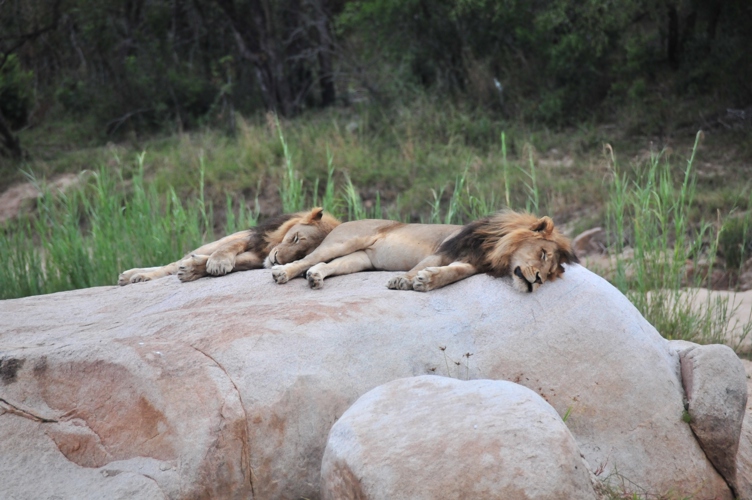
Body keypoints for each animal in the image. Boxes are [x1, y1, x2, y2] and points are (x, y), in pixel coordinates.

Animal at [118, 207, 340, 286]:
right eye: (295, 238)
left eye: (301, 255)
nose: (276, 259)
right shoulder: (254, 240)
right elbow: (231, 247)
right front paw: (217, 262)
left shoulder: (258, 259)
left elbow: (237, 262)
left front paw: (193, 270)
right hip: (213, 242)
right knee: (172, 264)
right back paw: (135, 275)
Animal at [270, 210, 576, 292]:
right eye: (543, 254)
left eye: (550, 273)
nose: (538, 281)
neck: (494, 251)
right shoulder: (443, 249)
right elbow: (421, 265)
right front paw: (403, 280)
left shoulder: (470, 264)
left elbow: (453, 274)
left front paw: (428, 281)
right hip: (344, 241)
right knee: (308, 259)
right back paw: (282, 272)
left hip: (360, 259)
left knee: (328, 265)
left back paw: (316, 277)